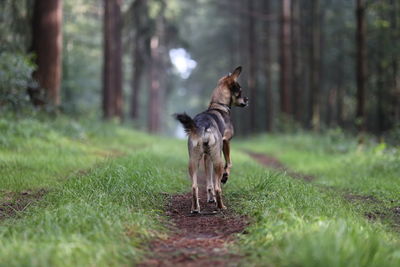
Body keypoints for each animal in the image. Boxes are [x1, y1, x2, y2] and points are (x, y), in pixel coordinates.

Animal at [174, 67, 247, 214]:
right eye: (240, 90)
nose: (247, 100)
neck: (218, 106)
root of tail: (203, 127)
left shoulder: (207, 157)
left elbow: (209, 182)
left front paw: (210, 197)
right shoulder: (226, 142)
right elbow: (229, 163)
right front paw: (225, 176)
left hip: (193, 160)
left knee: (195, 186)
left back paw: (195, 208)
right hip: (217, 159)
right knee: (218, 186)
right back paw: (220, 206)